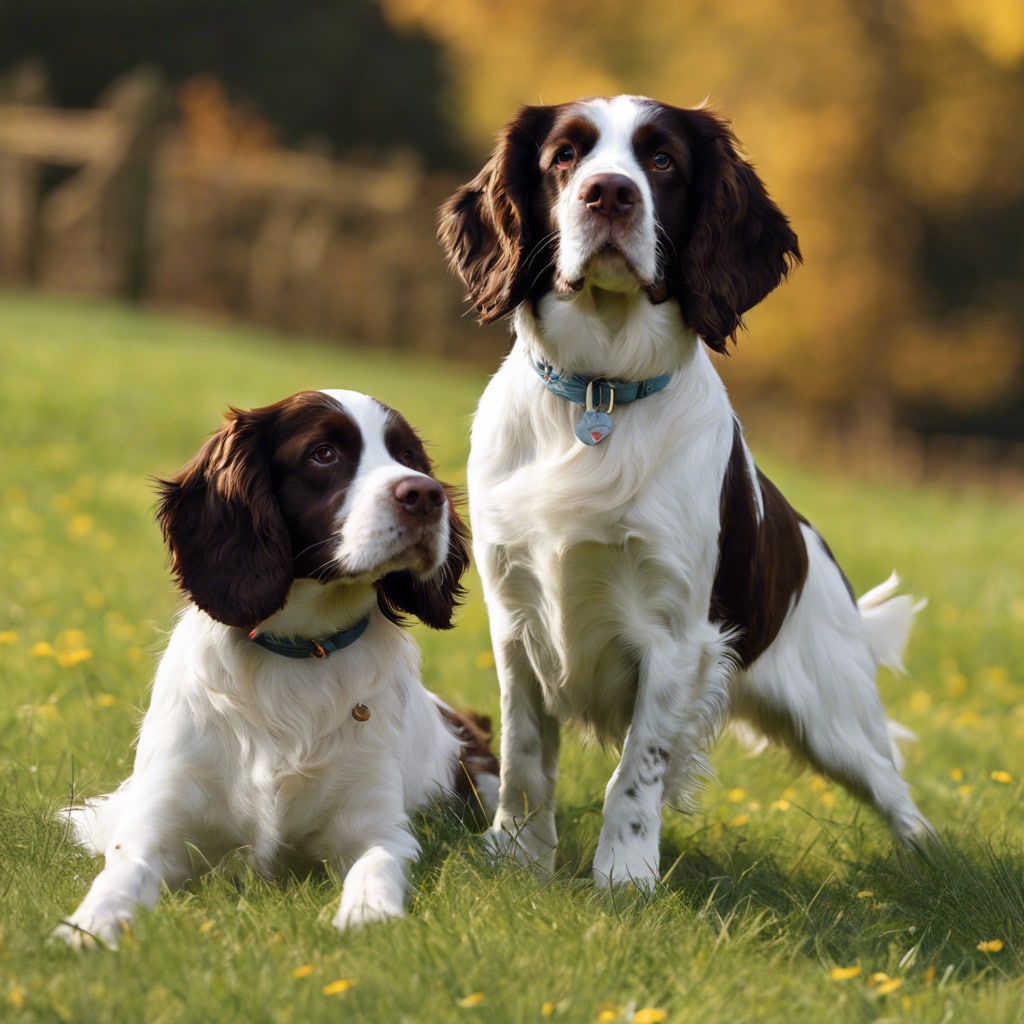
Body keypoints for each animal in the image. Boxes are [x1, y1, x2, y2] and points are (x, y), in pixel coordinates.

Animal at [55, 387, 495, 946]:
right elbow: (118, 878)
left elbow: (376, 868)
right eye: (323, 454)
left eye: (408, 458)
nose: (426, 495)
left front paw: (367, 917)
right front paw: (88, 927)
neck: (302, 650)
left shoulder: (377, 828)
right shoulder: (157, 829)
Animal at [440, 94, 937, 888]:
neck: (601, 393)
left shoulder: (674, 635)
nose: (609, 193)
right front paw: (518, 857)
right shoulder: (514, 620)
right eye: (565, 156)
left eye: (663, 159)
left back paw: (929, 869)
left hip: (833, 717)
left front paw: (624, 876)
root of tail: (814, 545)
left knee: (894, 789)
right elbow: (523, 757)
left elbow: (636, 770)